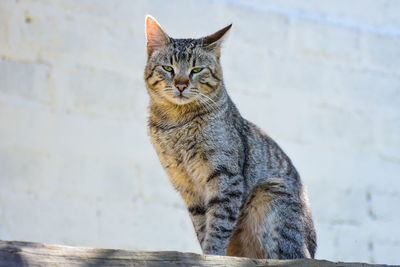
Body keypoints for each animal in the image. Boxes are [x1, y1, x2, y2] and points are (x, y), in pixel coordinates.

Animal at [144, 15, 316, 260]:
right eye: (168, 67)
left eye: (197, 69)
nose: (181, 84)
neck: (176, 122)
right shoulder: (187, 186)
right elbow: (203, 226)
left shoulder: (225, 176)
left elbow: (219, 223)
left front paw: (213, 255)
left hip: (272, 193)